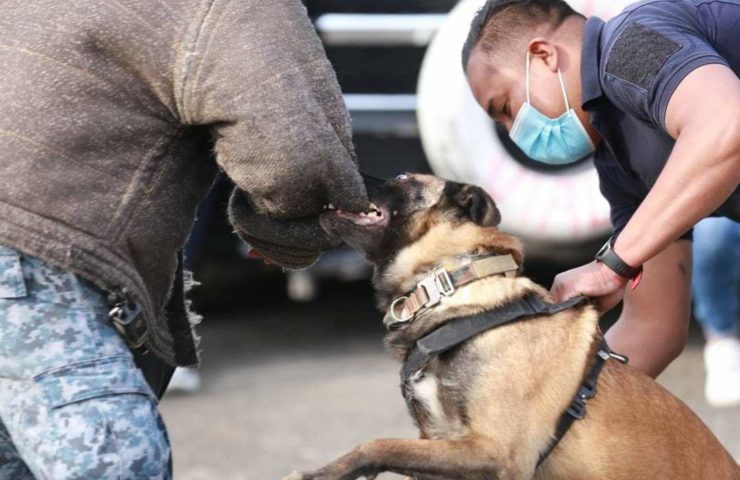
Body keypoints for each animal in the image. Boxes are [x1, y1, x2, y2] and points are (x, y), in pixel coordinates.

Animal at [282, 175, 736, 480]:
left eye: (404, 179)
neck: (453, 286)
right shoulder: (440, 443)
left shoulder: (494, 450)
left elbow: (376, 443)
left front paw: (319, 473)